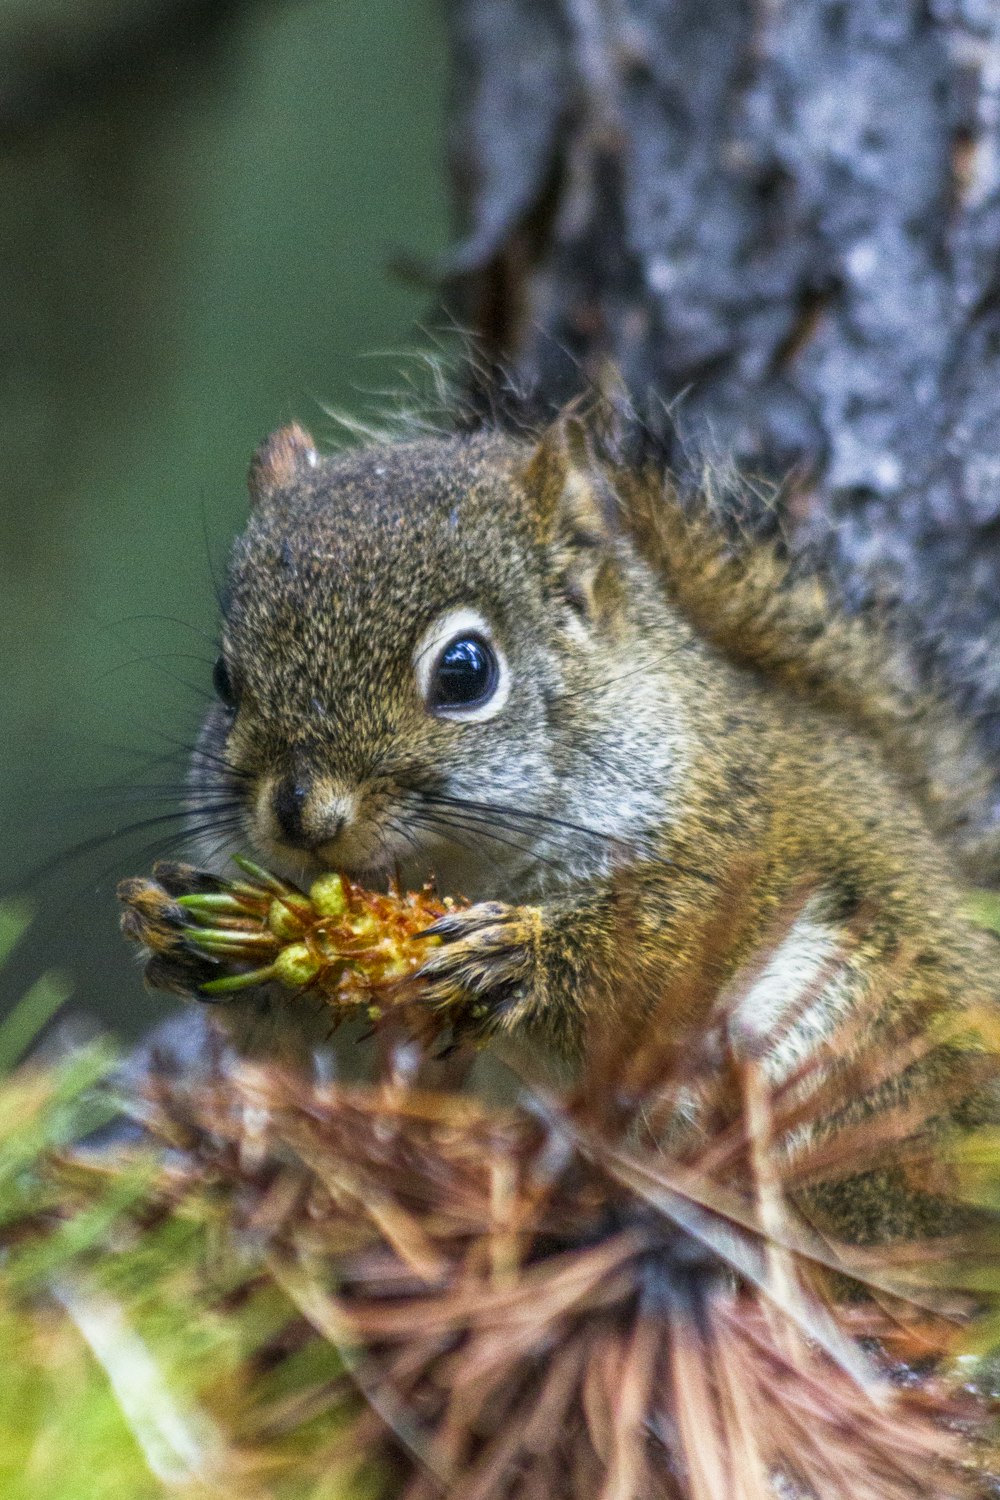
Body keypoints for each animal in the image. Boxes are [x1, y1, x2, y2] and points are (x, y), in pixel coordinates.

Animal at [189, 402, 1000, 1230]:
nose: (302, 817)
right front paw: (185, 929)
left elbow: (653, 970)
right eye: (225, 679)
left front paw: (516, 956)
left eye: (465, 671)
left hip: (850, 1051)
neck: (452, 868)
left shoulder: (723, 842)